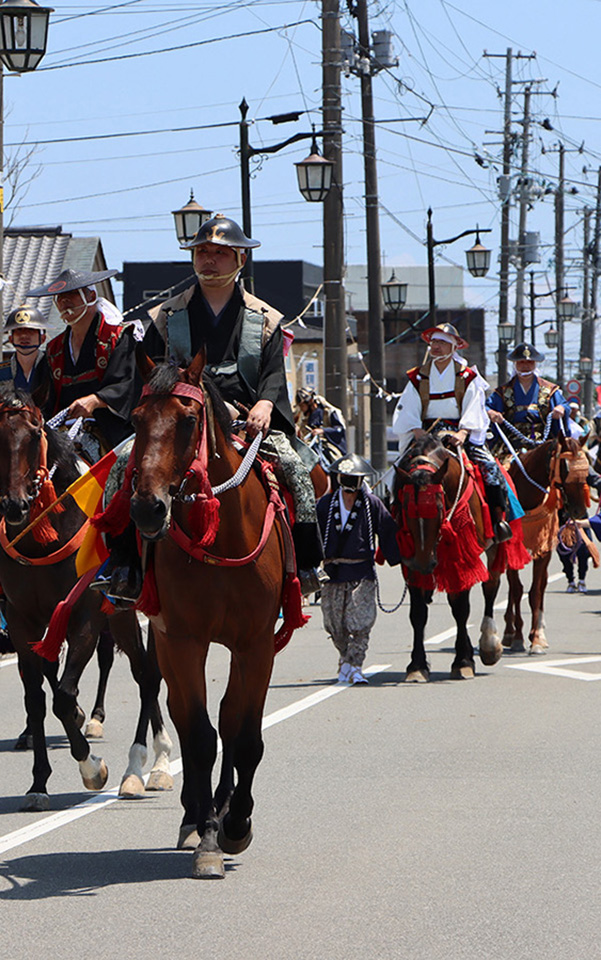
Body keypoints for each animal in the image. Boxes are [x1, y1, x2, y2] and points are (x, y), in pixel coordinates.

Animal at [0, 382, 173, 808]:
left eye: (34, 434)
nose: (15, 505)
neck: (43, 538)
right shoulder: (22, 621)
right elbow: (37, 699)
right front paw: (38, 783)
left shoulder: (85, 615)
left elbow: (63, 694)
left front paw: (92, 768)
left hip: (132, 611)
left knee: (147, 675)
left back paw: (151, 766)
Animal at [126, 350, 288, 876]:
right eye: (136, 420)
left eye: (188, 420)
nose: (148, 509)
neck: (223, 537)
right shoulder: (183, 639)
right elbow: (200, 735)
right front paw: (211, 837)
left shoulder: (255, 643)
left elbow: (244, 734)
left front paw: (236, 822)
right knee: (183, 716)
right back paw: (194, 816)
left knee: (231, 719)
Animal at [392, 436, 504, 684]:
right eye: (405, 508)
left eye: (439, 506)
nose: (425, 563)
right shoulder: (408, 561)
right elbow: (418, 614)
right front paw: (417, 666)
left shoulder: (462, 555)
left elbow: (460, 607)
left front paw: (463, 662)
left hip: (494, 544)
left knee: (491, 586)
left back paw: (489, 644)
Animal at [502, 434, 592, 652]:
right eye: (565, 468)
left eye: (585, 468)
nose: (579, 511)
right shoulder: (512, 547)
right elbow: (517, 589)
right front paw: (517, 636)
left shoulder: (543, 548)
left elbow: (535, 591)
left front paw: (536, 639)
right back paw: (509, 631)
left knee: (541, 585)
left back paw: (539, 629)